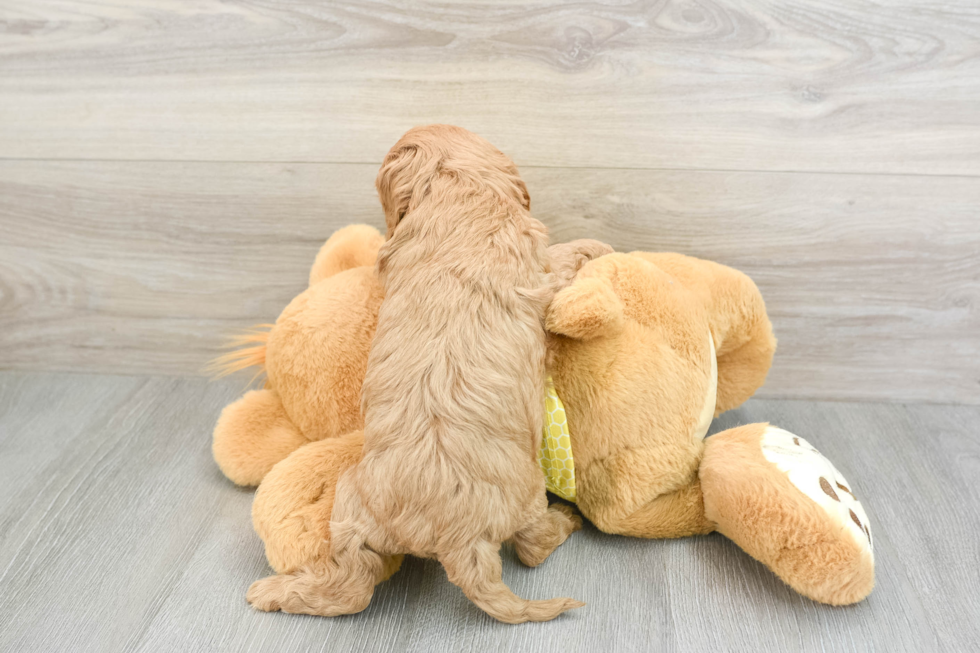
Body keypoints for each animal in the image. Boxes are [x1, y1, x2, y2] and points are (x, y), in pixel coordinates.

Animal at [247, 126, 604, 620]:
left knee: (352, 586)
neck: (458, 193)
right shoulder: (538, 267)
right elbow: (563, 256)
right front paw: (595, 247)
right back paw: (565, 520)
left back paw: (277, 592)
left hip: (352, 502)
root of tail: (456, 542)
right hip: (527, 494)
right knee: (532, 546)